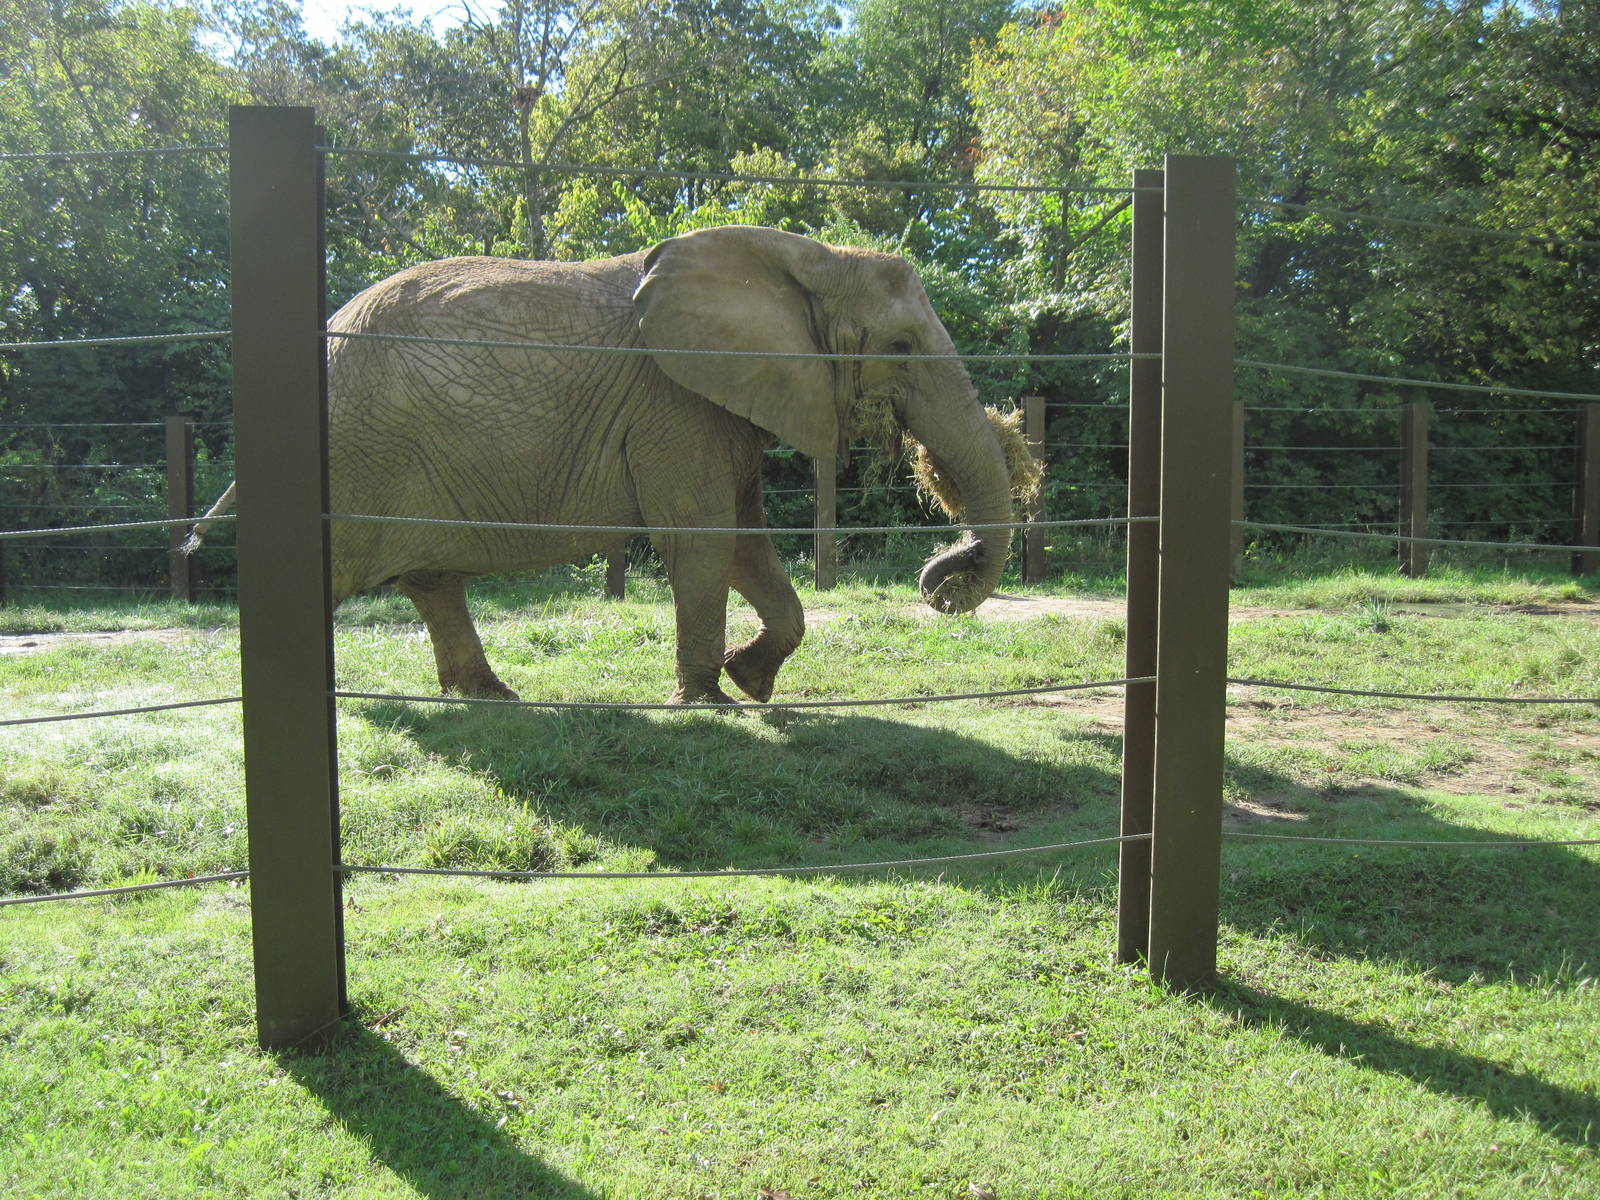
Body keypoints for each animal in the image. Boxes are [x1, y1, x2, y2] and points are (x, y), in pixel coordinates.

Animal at [193, 225, 1021, 705]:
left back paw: (490, 698)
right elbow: (704, 536)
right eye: (902, 347)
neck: (808, 259)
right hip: (353, 452)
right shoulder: (674, 401)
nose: (943, 578)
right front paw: (711, 706)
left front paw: (752, 685)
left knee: (433, 582)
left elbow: (745, 539)